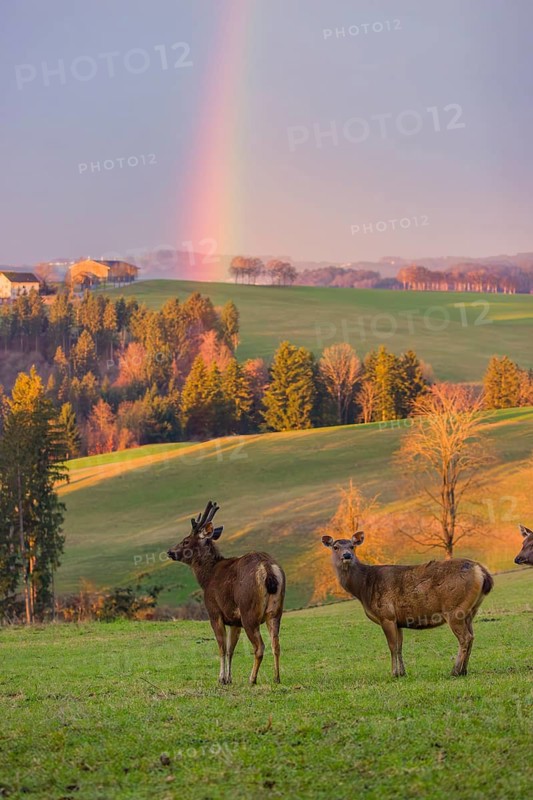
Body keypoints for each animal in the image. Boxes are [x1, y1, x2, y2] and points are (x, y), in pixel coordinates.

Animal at [167, 501, 285, 685]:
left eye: (186, 541)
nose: (170, 552)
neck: (207, 578)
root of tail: (267, 568)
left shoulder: (214, 612)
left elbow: (222, 648)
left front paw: (221, 678)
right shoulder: (234, 620)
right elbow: (231, 649)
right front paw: (229, 678)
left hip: (248, 610)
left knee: (260, 646)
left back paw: (252, 678)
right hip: (275, 611)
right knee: (276, 644)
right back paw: (276, 677)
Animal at [322, 530, 493, 678]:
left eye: (352, 546)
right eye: (335, 547)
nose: (347, 555)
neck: (363, 588)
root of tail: (481, 571)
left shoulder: (387, 615)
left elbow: (392, 646)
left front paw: (393, 673)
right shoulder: (398, 620)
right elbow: (399, 646)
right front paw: (402, 673)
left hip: (454, 609)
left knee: (465, 638)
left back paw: (455, 671)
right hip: (470, 610)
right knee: (472, 636)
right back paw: (463, 670)